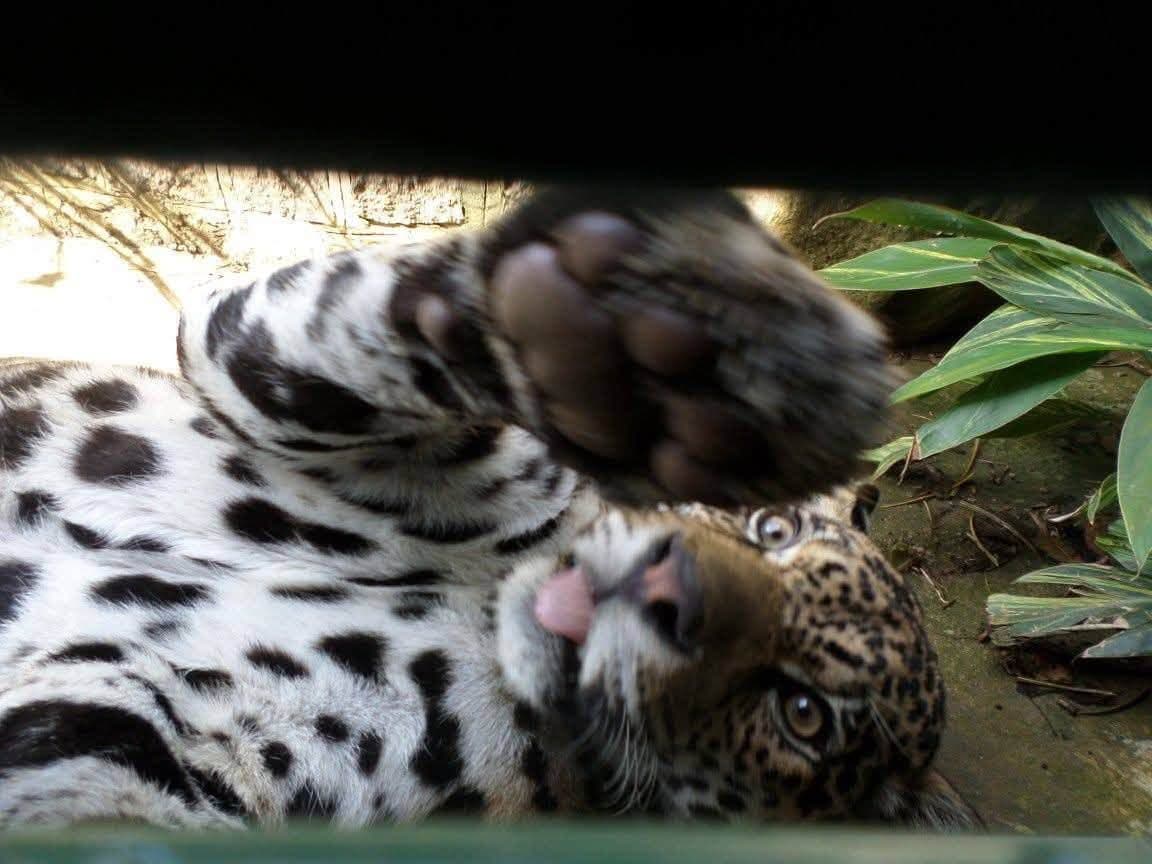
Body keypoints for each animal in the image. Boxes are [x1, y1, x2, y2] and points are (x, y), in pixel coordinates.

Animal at [0, 187, 980, 830]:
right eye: (774, 530)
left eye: (804, 714)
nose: (674, 588)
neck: (481, 606)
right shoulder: (246, 355)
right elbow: (364, 321)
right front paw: (645, 345)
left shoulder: (170, 745)